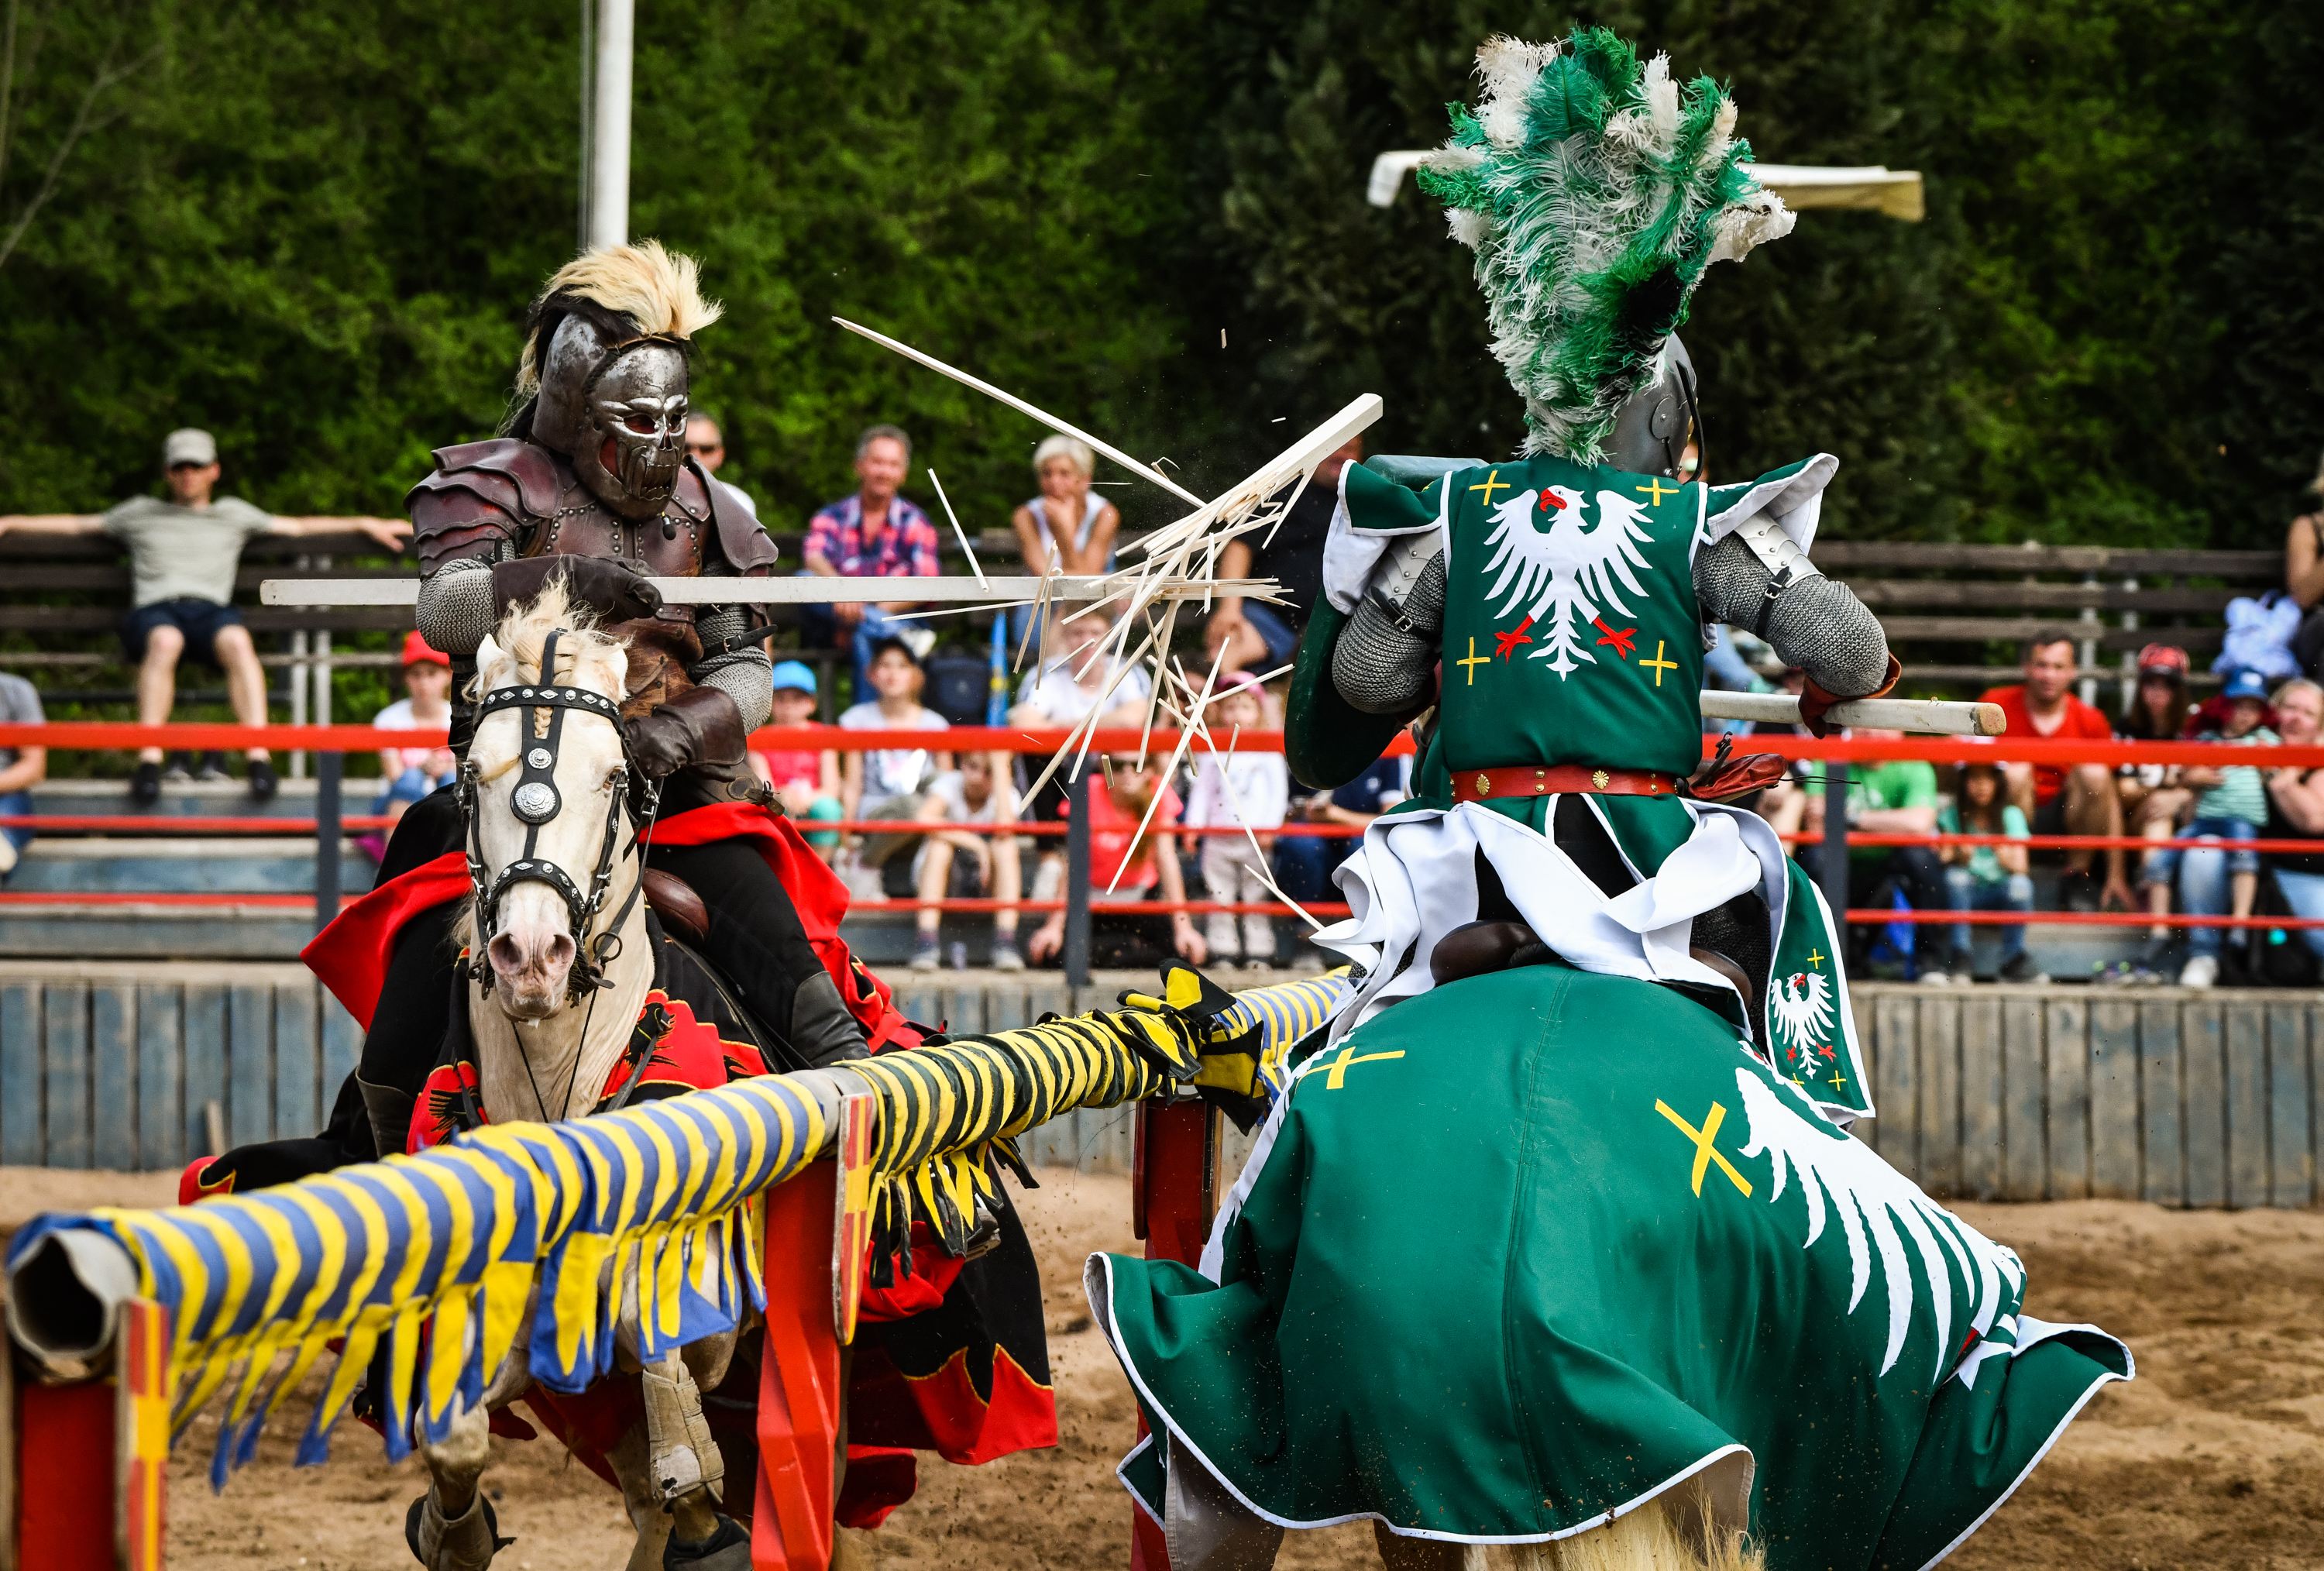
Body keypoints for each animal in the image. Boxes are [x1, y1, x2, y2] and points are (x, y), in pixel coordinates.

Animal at [409, 581, 753, 1571]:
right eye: (473, 774)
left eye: (614, 777)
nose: (532, 955)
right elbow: (453, 1430)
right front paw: (454, 1531)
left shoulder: (718, 1315)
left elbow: (663, 1355)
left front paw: (699, 1487)